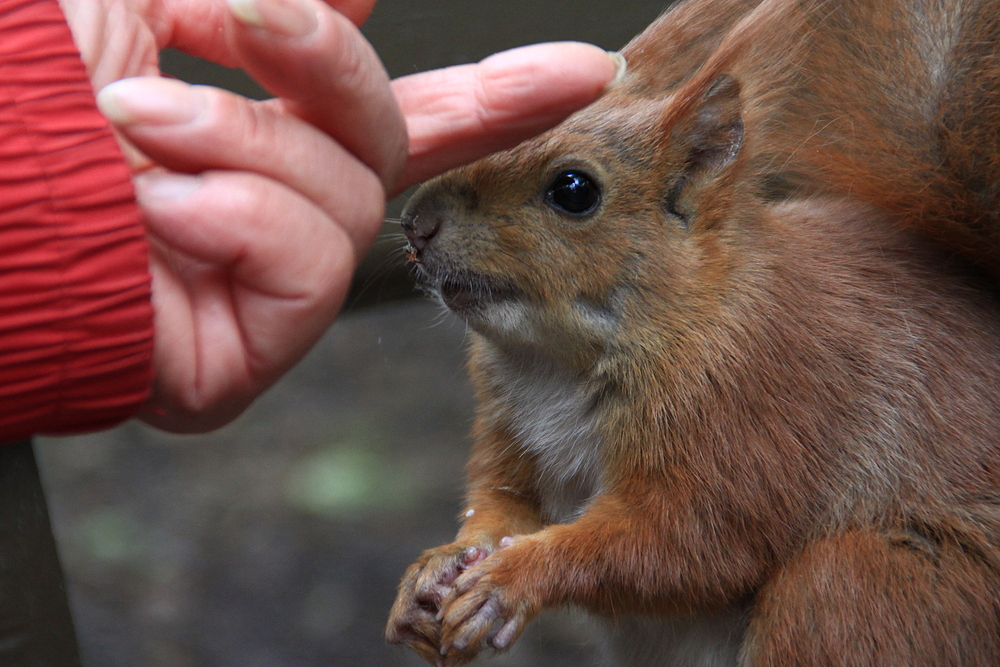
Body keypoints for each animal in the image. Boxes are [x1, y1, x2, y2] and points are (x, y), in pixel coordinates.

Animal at [384, 1, 1000, 664]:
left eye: (573, 191)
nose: (417, 223)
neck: (558, 363)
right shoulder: (510, 427)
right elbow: (501, 497)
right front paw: (436, 570)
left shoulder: (761, 416)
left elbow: (688, 546)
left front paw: (510, 580)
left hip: (865, 588)